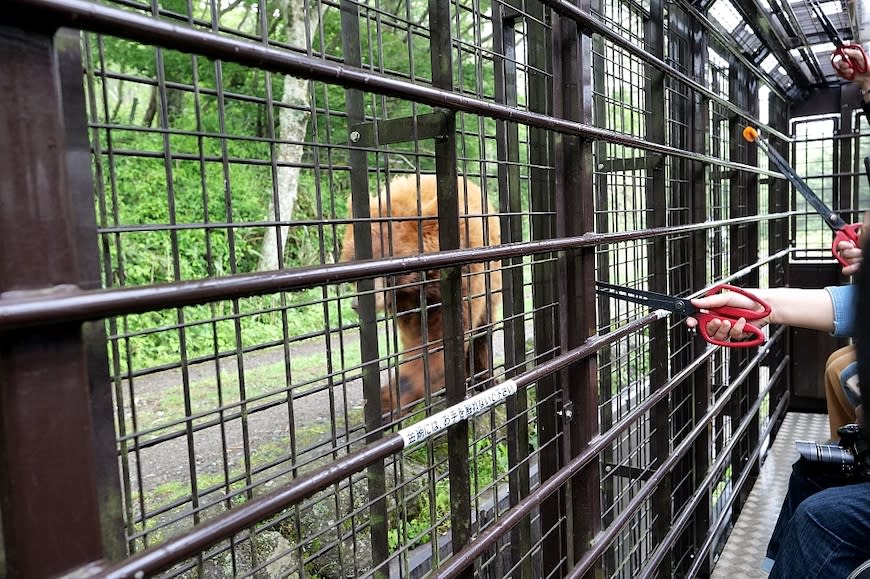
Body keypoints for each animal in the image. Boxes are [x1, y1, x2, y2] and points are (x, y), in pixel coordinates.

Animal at [340, 174, 504, 420]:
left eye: (393, 269)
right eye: (356, 261)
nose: (358, 305)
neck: (421, 289)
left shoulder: (464, 280)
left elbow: (438, 343)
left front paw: (387, 403)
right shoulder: (405, 307)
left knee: (483, 333)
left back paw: (484, 379)